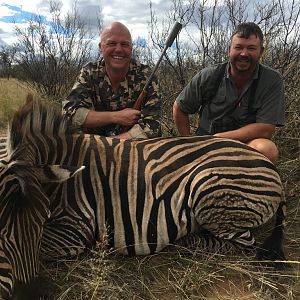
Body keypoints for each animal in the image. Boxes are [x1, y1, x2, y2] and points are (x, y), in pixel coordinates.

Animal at [0, 95, 286, 298]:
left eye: (41, 219)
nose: (30, 295)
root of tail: (270, 167)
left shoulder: (76, 228)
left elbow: (37, 251)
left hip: (209, 188)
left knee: (244, 245)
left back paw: (186, 242)